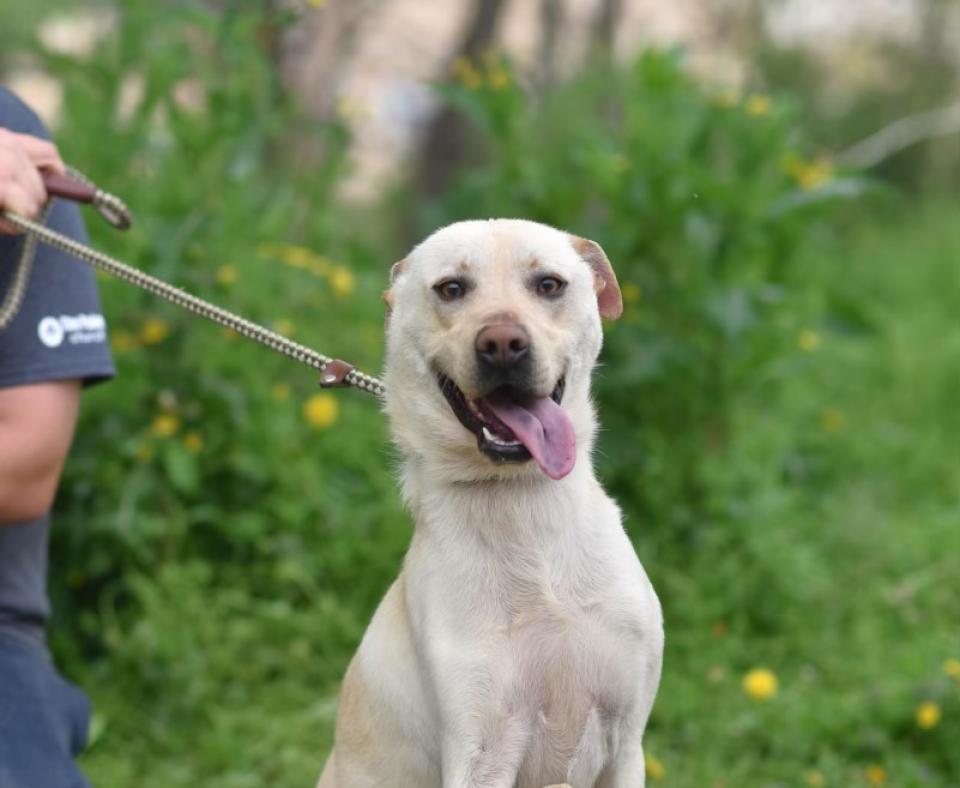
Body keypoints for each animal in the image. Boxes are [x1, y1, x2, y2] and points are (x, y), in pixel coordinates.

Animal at [318, 219, 664, 784]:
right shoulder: (480, 752)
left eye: (549, 284)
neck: (520, 505)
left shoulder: (626, 743)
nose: (503, 343)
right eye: (451, 289)